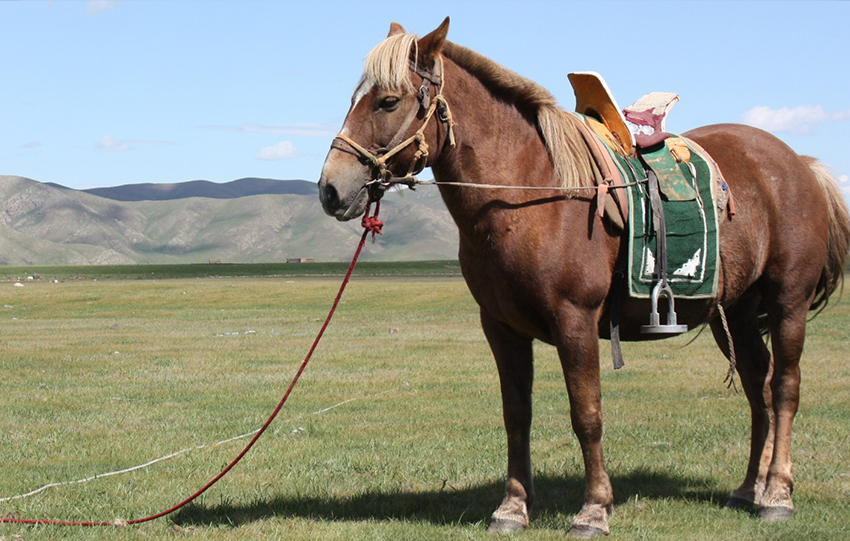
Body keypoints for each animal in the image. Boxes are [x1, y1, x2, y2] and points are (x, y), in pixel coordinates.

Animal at [318, 17, 848, 536]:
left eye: (388, 101)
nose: (330, 189)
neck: (531, 192)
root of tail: (799, 165)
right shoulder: (501, 328)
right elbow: (517, 414)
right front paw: (512, 508)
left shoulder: (576, 321)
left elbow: (586, 414)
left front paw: (594, 510)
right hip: (734, 313)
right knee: (759, 386)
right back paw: (749, 488)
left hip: (787, 302)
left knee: (785, 388)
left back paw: (777, 494)